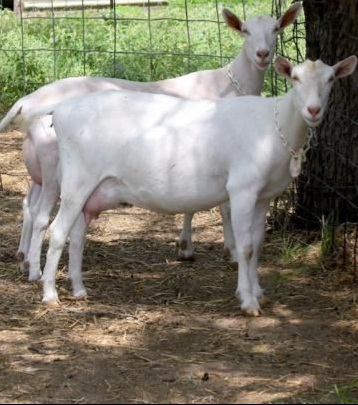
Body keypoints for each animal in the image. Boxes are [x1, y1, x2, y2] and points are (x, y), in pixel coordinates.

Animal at [0, 2, 302, 278]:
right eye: (245, 31)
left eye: (276, 29)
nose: (262, 54)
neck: (229, 84)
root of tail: (26, 103)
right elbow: (224, 206)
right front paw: (228, 250)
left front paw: (186, 246)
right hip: (54, 168)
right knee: (42, 215)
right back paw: (35, 271)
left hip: (39, 168)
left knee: (29, 205)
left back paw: (23, 258)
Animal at [14, 54, 358, 312]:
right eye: (295, 78)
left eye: (330, 80)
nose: (313, 110)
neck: (274, 127)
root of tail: (60, 111)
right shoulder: (242, 190)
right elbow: (245, 247)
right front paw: (248, 301)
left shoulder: (263, 196)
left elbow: (258, 244)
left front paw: (257, 290)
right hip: (77, 181)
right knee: (58, 231)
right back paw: (50, 294)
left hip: (90, 190)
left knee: (77, 235)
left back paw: (79, 289)